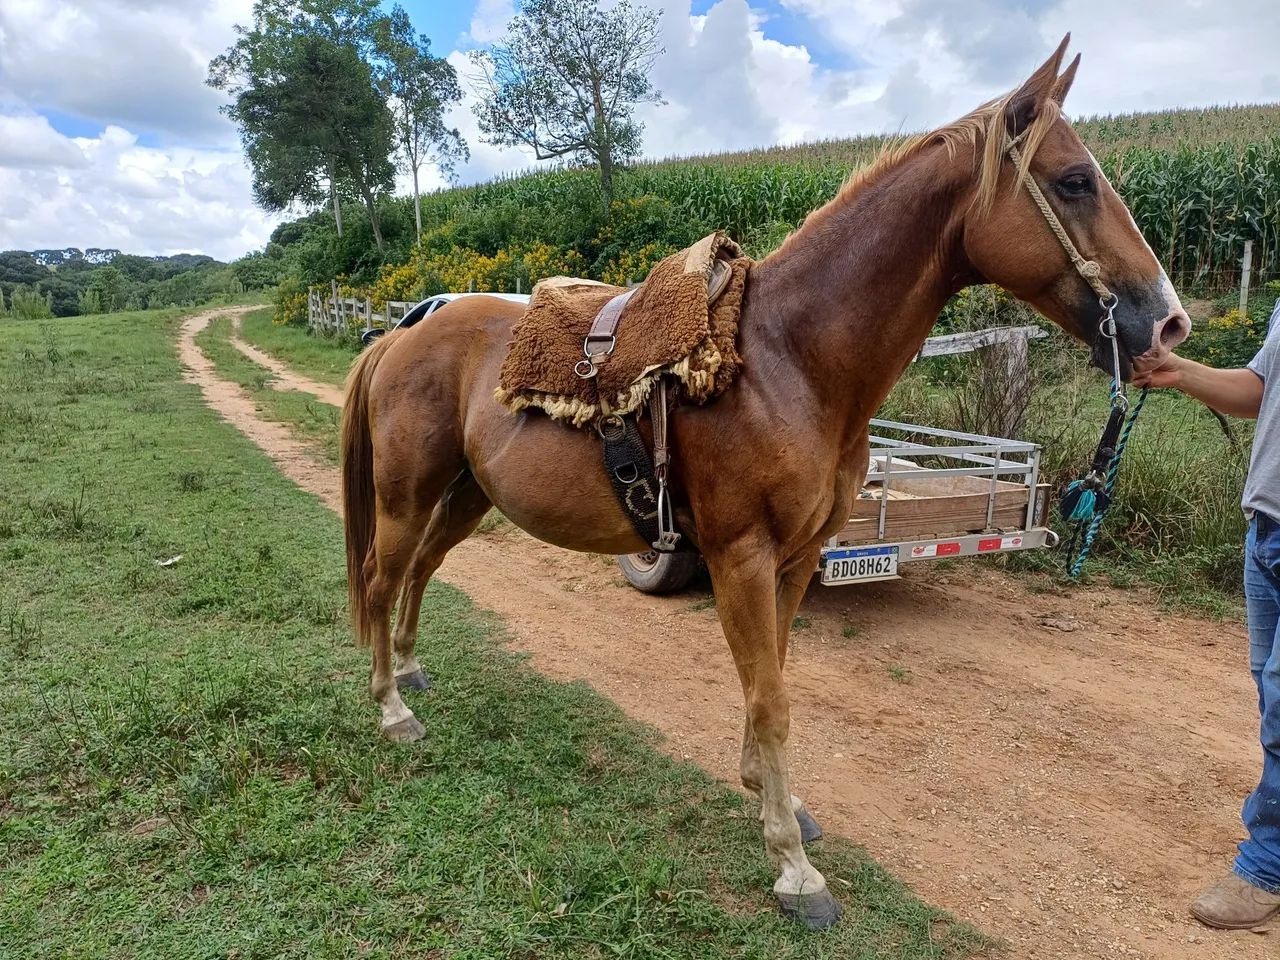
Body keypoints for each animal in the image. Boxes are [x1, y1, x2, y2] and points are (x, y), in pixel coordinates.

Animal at [339, 36, 1190, 928]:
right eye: (1075, 181)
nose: (1169, 325)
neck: (793, 361)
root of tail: (405, 330)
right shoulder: (741, 557)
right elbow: (771, 699)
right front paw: (794, 868)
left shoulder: (796, 559)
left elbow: (771, 678)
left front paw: (771, 800)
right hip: (406, 494)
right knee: (383, 575)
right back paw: (393, 708)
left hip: (467, 494)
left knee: (422, 569)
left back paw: (409, 672)